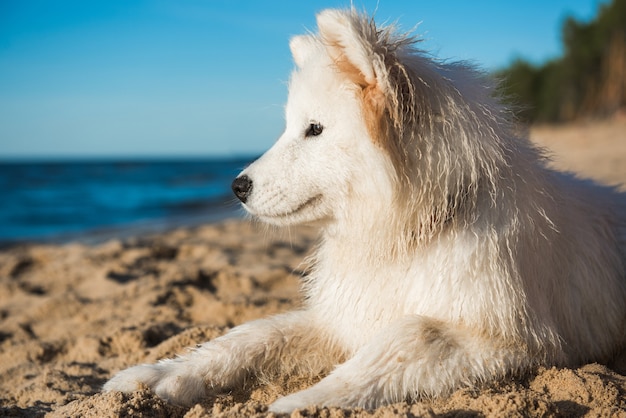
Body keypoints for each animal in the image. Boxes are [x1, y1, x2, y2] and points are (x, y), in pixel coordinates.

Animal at [102, 8, 624, 414]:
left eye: (314, 129)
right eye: (290, 126)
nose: (237, 187)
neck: (408, 235)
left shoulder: (511, 339)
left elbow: (410, 335)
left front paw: (302, 401)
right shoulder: (343, 319)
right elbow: (252, 333)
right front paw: (160, 375)